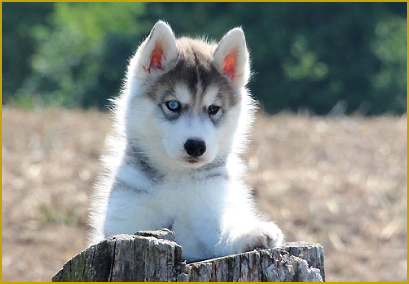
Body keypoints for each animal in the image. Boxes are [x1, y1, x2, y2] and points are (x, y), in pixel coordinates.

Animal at [89, 20, 282, 262]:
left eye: (213, 109)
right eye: (173, 105)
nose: (196, 146)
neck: (177, 178)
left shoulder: (212, 202)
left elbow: (227, 224)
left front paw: (253, 232)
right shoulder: (127, 214)